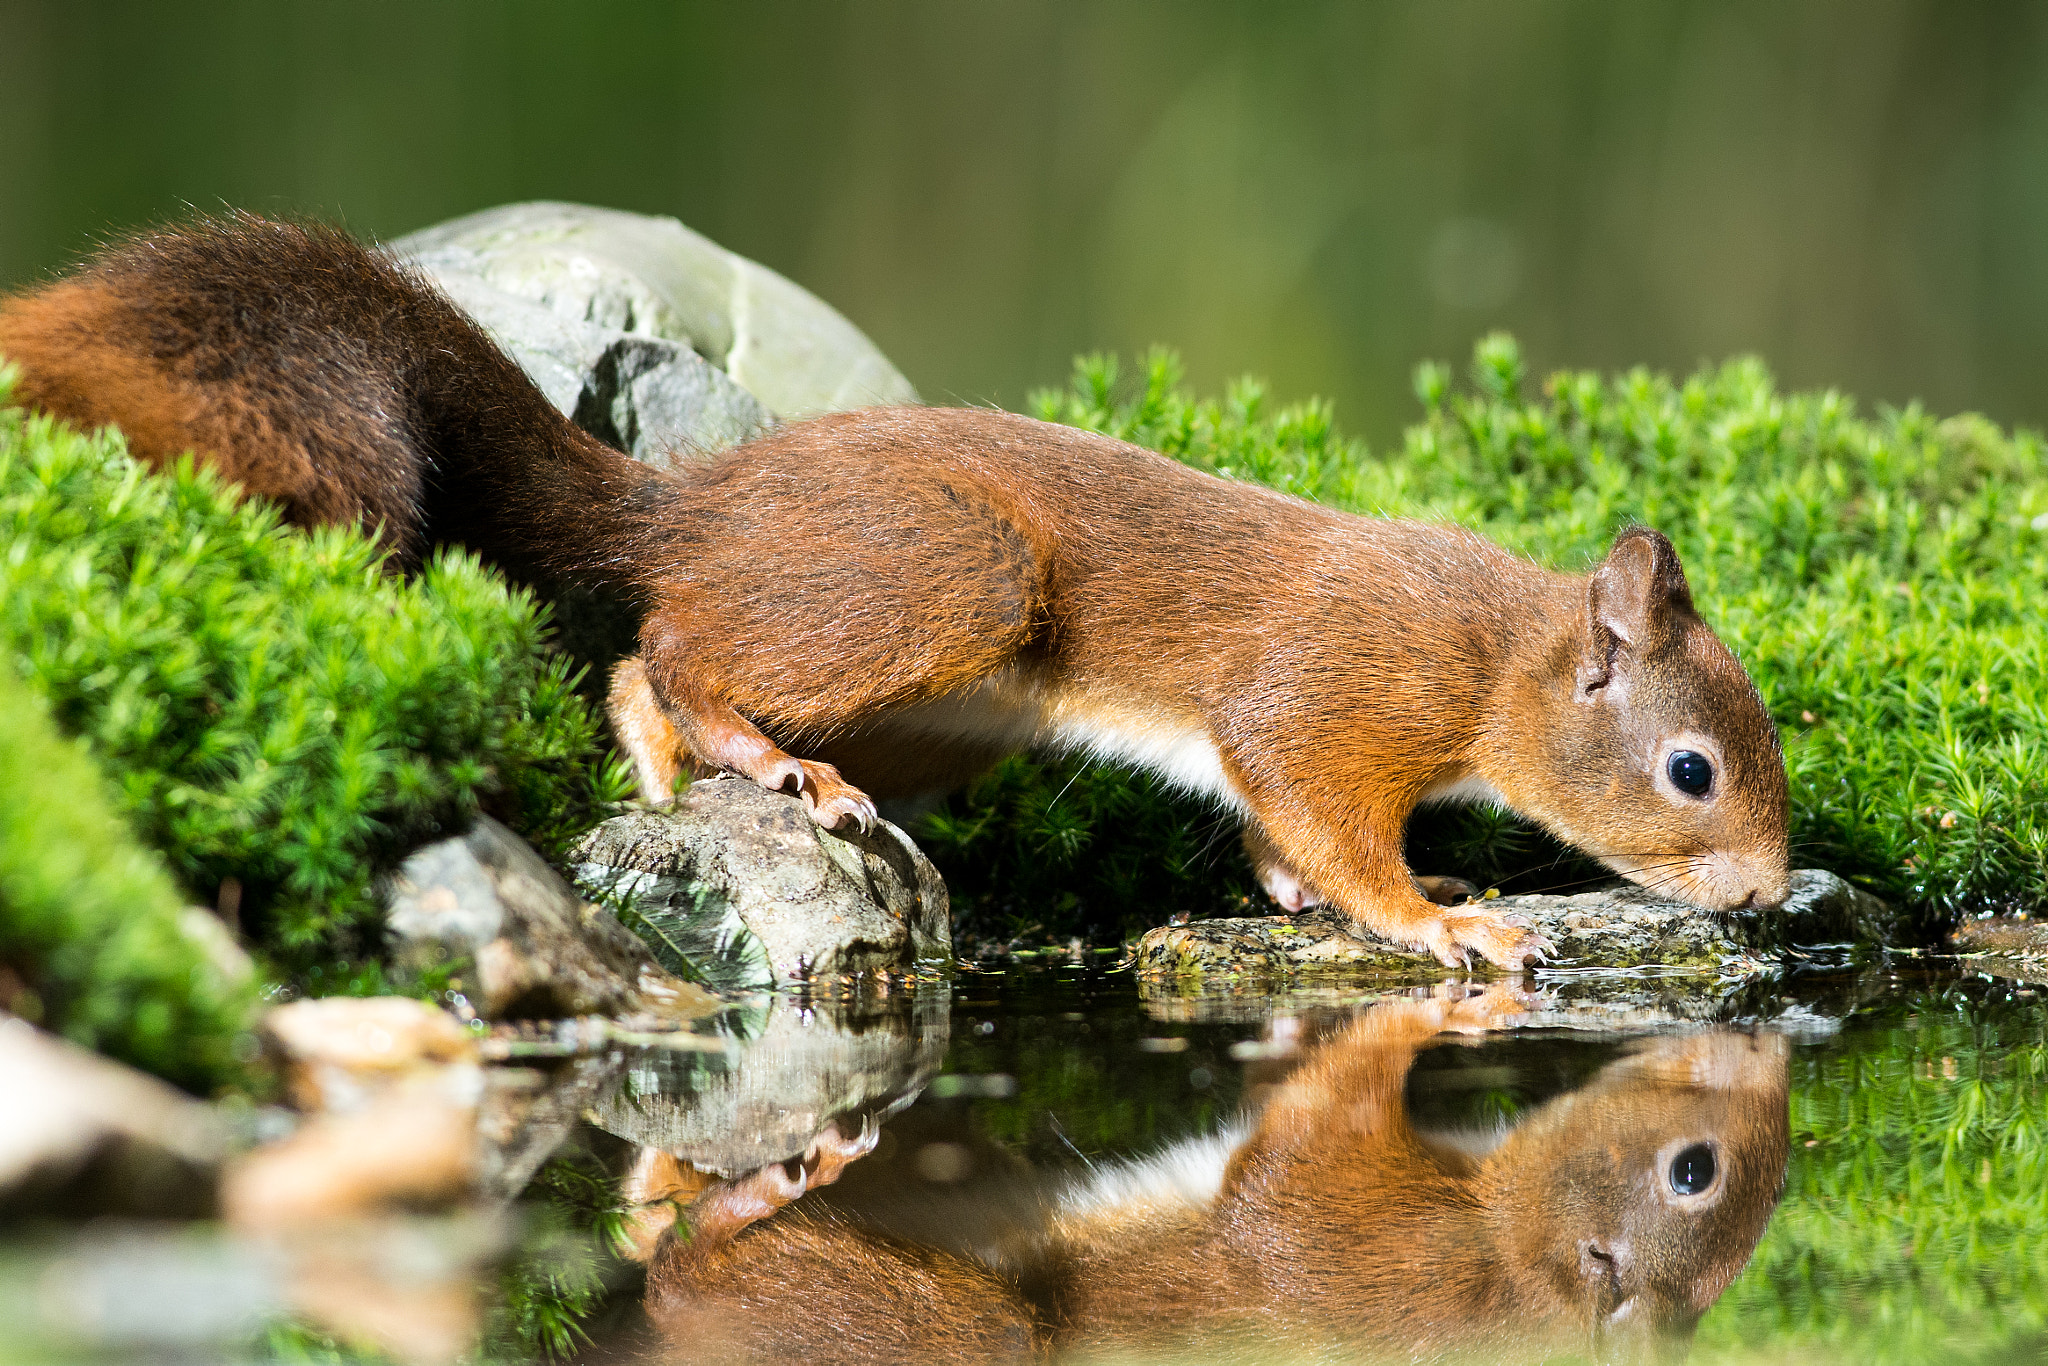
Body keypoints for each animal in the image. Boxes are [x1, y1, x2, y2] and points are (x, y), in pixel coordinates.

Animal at [0, 214, 1792, 969]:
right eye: (1692, 767)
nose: (1773, 897)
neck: (1490, 650)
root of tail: (698, 502)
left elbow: (1278, 837)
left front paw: (1317, 894)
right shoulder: (1341, 684)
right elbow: (1320, 804)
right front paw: (1443, 916)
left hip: (959, 713)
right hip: (954, 575)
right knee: (669, 643)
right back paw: (741, 752)